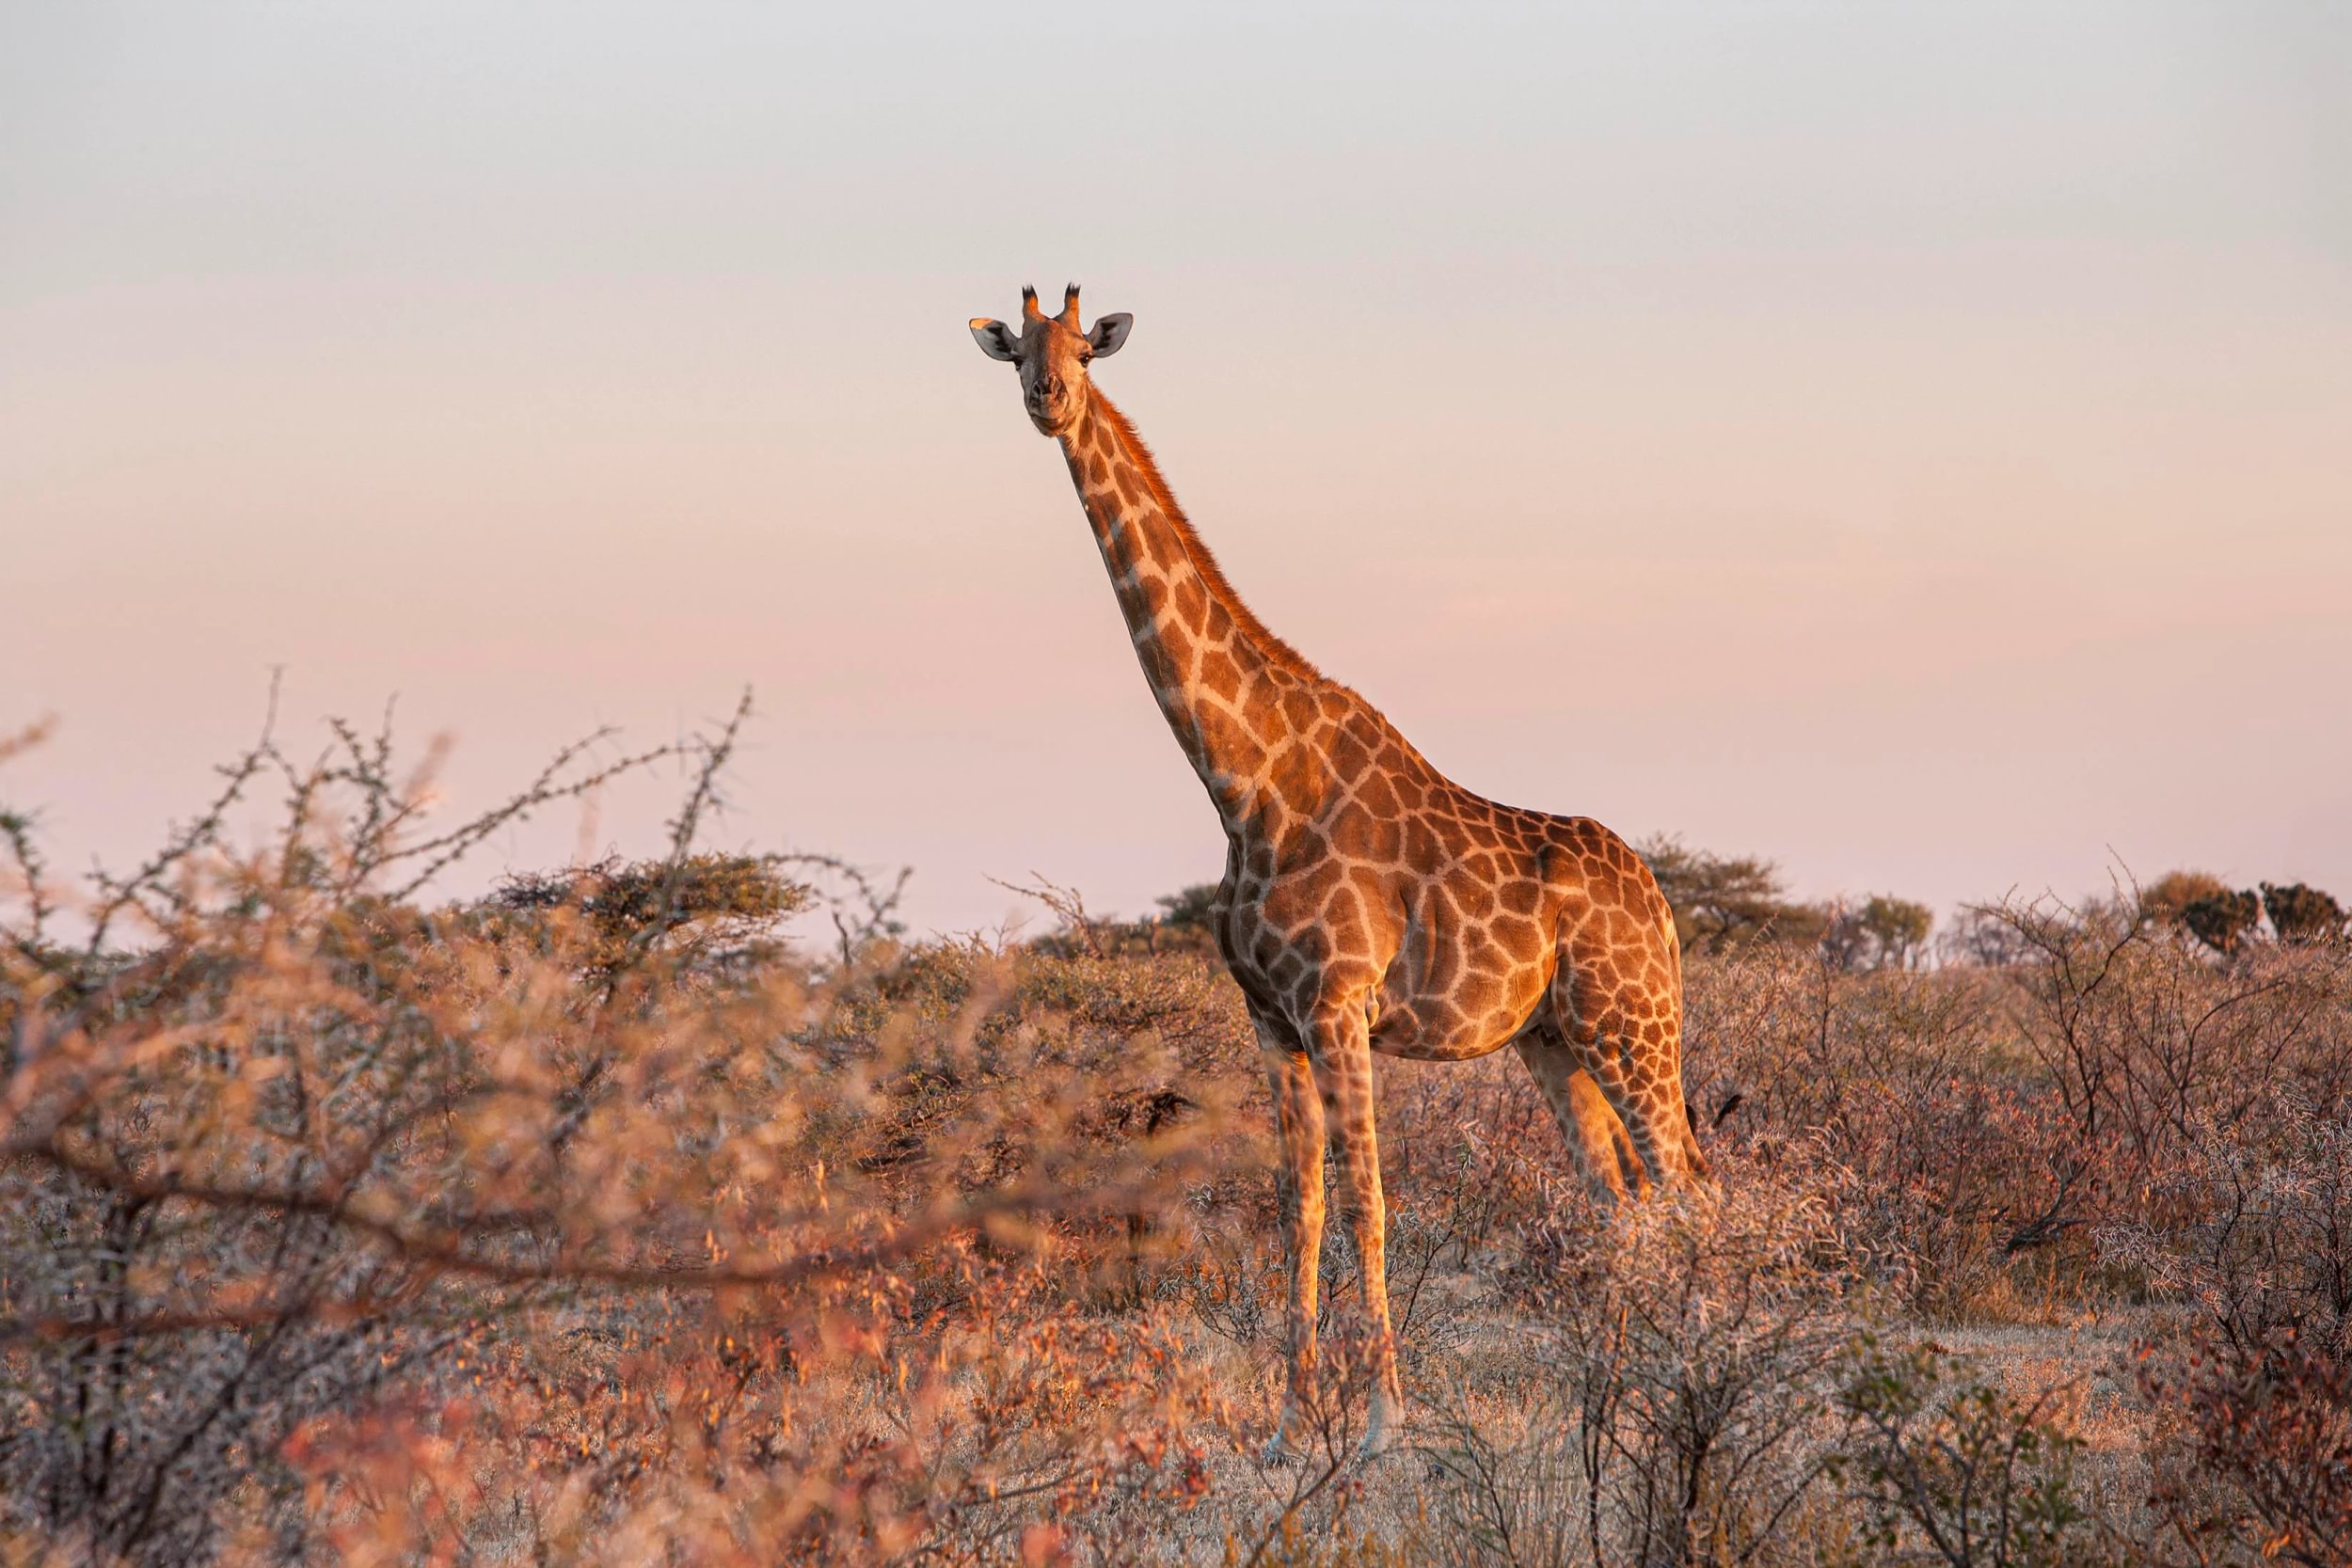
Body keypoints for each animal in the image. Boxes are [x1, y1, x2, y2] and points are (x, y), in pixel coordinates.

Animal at [968, 285, 1709, 1461]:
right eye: (1017, 350)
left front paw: (1379, 1420)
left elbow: (1368, 1199)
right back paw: (1623, 1397)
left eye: (1083, 346)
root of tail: (1664, 907)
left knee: (1686, 1184)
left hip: (1631, 1023)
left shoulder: (1339, 1005)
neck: (1245, 777)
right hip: (1553, 1039)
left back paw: (1698, 1378)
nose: (1049, 398)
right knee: (1619, 1193)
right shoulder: (1270, 1018)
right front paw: (1287, 1423)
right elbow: (1297, 1204)